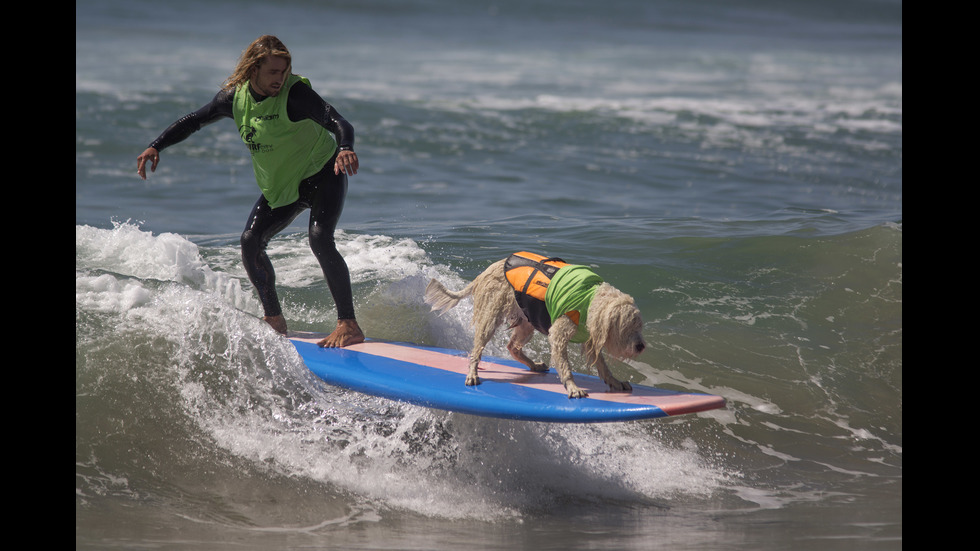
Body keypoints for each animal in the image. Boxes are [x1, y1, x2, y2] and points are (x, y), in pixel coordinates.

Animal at [424, 252, 648, 398]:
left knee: (512, 347)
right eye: (628, 327)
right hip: (490, 317)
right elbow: (565, 365)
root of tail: (485, 272)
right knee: (477, 349)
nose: (641, 346)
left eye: (639, 326)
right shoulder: (559, 335)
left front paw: (614, 382)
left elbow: (603, 365)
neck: (589, 299)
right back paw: (472, 373)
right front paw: (573, 387)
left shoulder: (590, 336)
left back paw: (533, 365)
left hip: (526, 321)